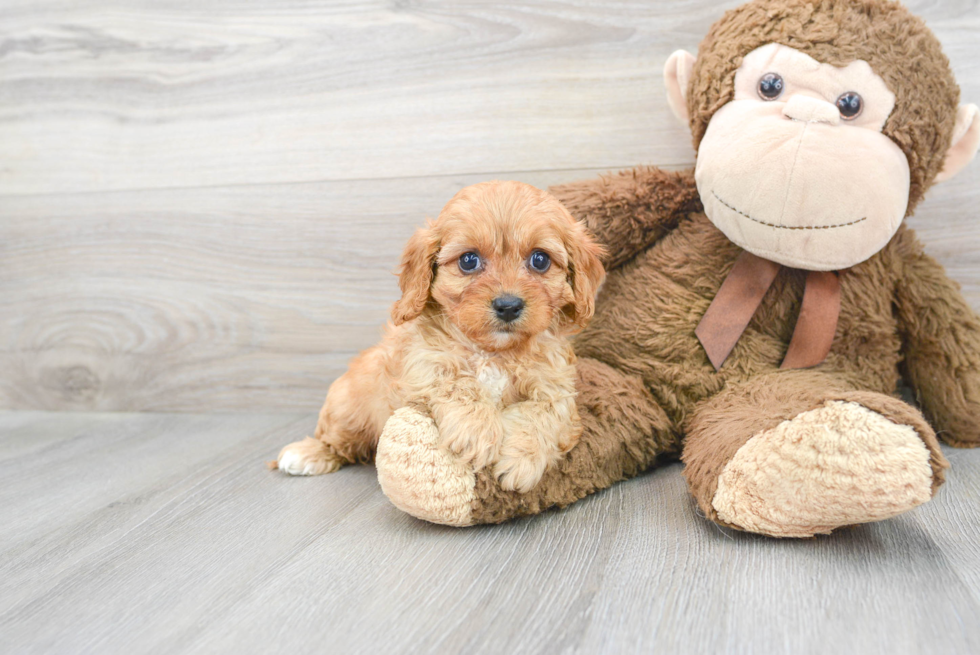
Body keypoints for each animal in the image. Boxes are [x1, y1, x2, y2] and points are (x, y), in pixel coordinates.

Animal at [272, 179, 600, 492]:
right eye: (468, 260)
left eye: (540, 260)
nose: (508, 306)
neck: (493, 352)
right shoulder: (425, 363)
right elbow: (458, 383)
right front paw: (477, 432)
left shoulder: (556, 386)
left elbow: (545, 413)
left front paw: (521, 460)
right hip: (347, 409)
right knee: (337, 441)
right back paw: (306, 454)